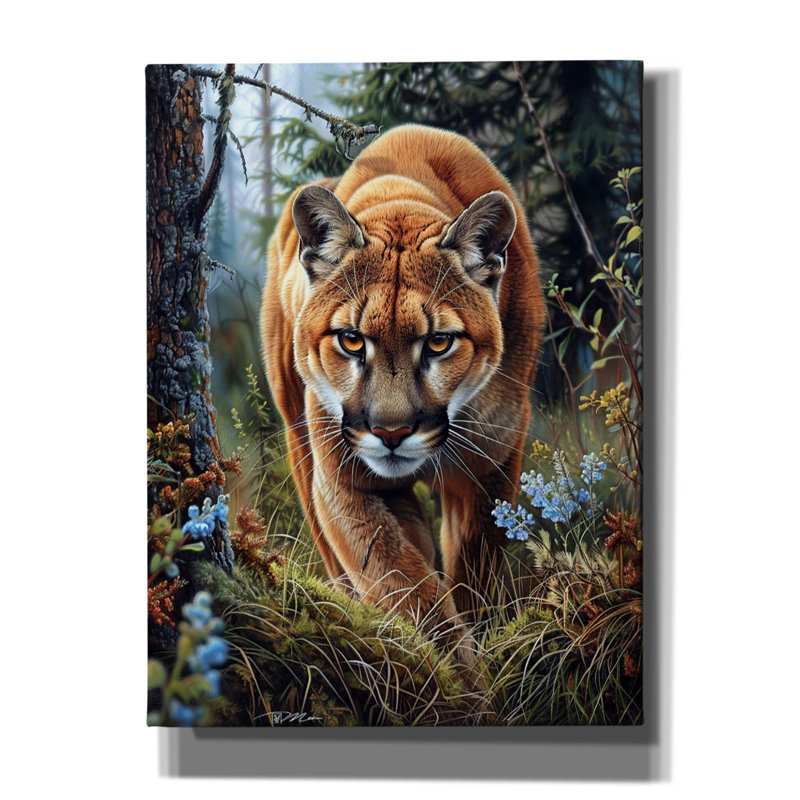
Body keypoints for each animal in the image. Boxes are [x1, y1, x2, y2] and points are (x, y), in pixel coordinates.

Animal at [261, 124, 544, 663]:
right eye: (351, 339)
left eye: (438, 342)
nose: (390, 433)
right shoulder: (347, 482)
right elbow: (406, 586)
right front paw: (455, 676)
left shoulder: (488, 468)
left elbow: (471, 575)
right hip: (299, 438)